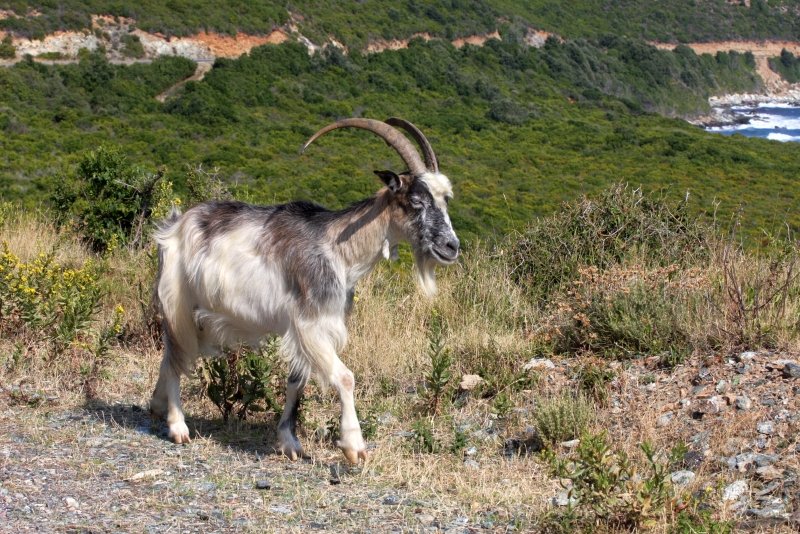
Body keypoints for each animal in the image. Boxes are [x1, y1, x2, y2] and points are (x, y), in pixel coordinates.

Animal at [149, 118, 460, 463]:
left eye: (445, 200)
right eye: (416, 201)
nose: (451, 246)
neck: (338, 249)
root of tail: (175, 225)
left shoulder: (307, 328)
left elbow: (296, 380)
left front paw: (289, 442)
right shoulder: (309, 324)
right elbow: (345, 377)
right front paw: (354, 446)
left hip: (202, 315)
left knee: (174, 355)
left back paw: (157, 405)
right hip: (177, 302)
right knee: (176, 355)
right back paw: (178, 426)